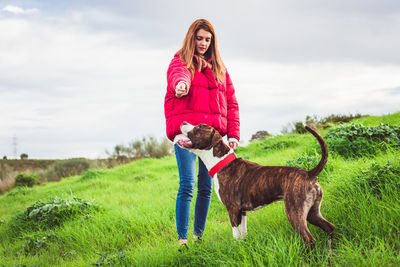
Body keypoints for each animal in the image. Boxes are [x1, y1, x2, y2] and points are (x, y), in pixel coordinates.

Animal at [177, 122, 336, 247]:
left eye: (199, 126)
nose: (183, 121)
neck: (221, 162)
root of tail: (309, 173)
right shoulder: (242, 211)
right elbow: (243, 233)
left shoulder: (233, 210)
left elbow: (236, 236)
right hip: (312, 212)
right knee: (330, 227)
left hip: (294, 212)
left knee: (309, 239)